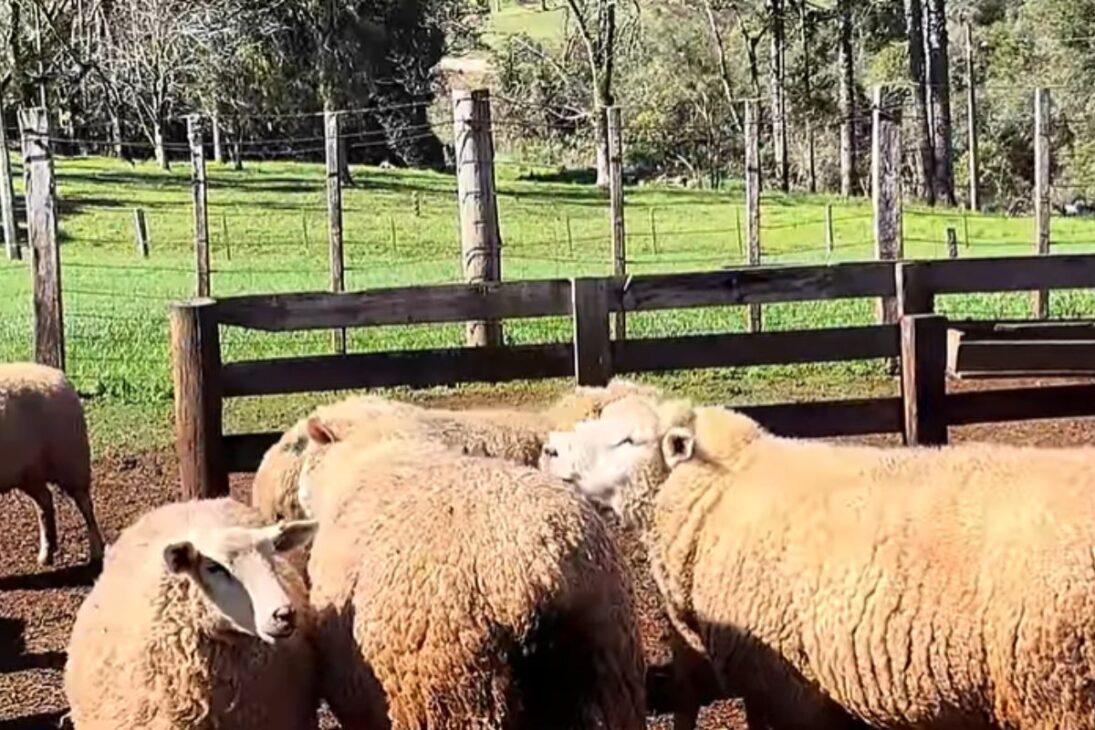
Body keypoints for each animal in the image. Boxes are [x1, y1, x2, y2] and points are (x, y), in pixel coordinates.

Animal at [0, 361, 104, 566]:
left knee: (85, 505)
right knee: (45, 501)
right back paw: (47, 553)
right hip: (29, 472)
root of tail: (59, 376)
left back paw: (96, 552)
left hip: (71, 461)